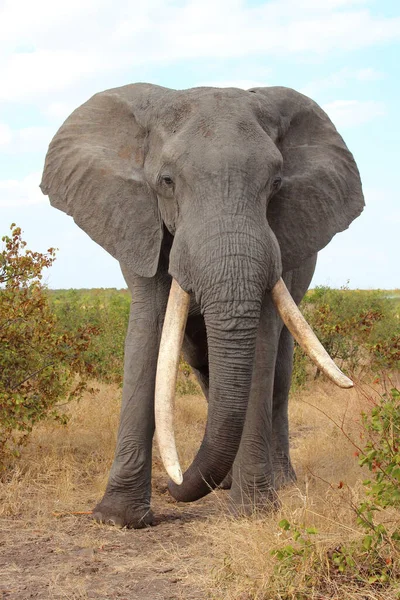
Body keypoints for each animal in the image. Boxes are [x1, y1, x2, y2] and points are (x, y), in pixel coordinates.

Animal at [39, 82, 362, 528]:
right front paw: (117, 519)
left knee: (279, 372)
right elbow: (147, 335)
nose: (172, 484)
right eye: (166, 181)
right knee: (203, 364)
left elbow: (261, 346)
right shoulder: (139, 224)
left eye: (276, 183)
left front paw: (254, 513)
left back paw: (279, 482)